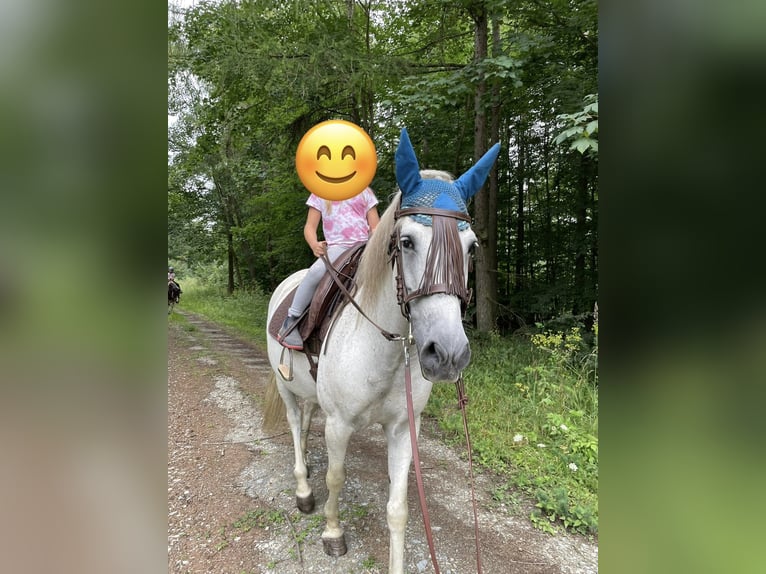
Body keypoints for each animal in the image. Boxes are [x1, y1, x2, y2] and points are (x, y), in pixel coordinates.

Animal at [264, 128, 500, 574]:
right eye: (406, 241)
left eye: (472, 247)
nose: (447, 354)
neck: (383, 352)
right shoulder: (339, 423)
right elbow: (336, 478)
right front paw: (332, 534)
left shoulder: (405, 428)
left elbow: (399, 508)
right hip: (285, 385)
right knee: (294, 423)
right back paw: (303, 489)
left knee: (306, 418)